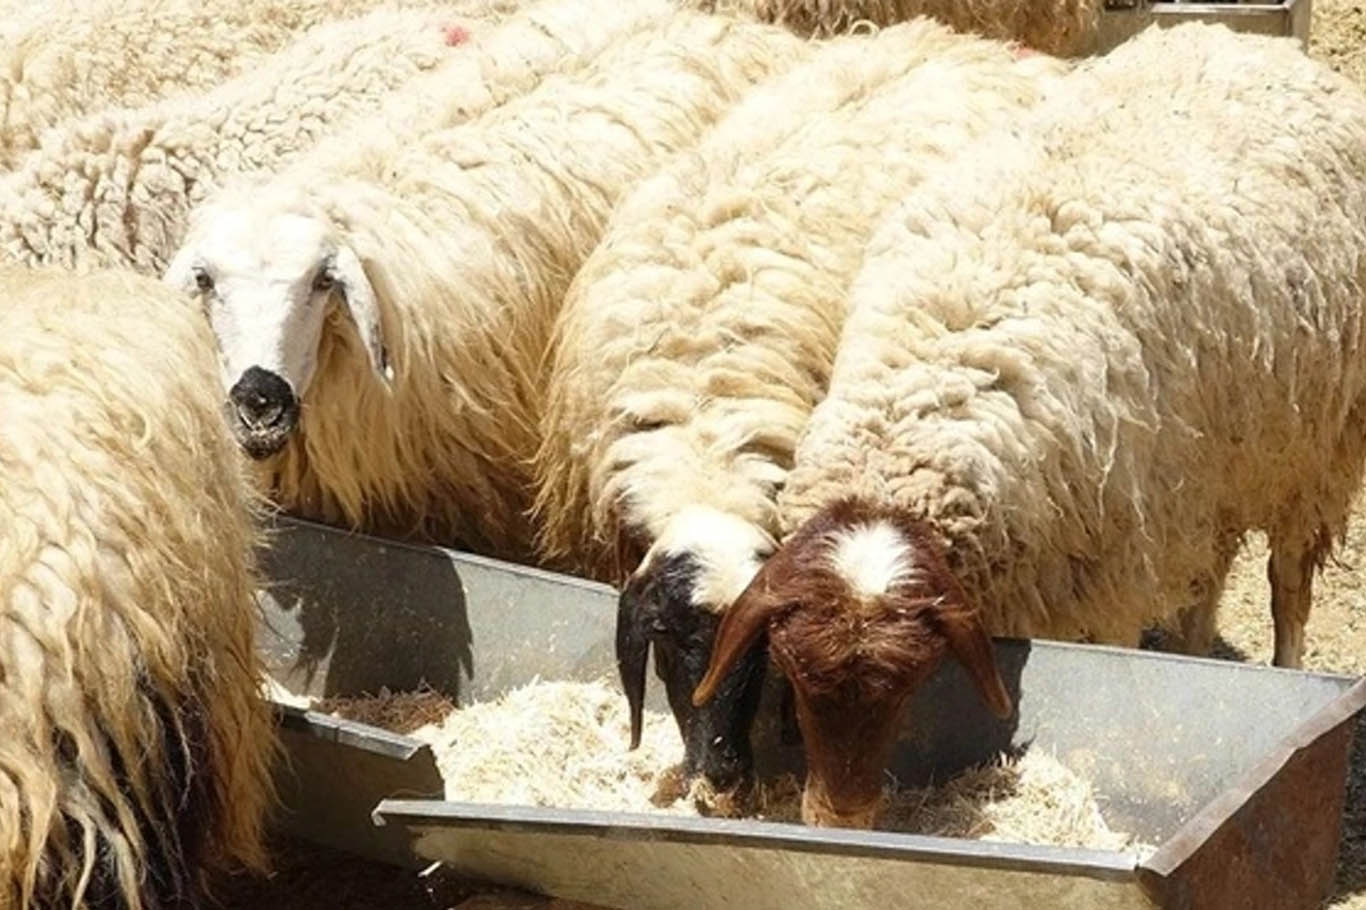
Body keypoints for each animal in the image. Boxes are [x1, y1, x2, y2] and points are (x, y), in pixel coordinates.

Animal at [699, 23, 1366, 830]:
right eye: (794, 675)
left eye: (906, 683)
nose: (839, 822)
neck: (925, 398)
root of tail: (1253, 45)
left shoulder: (1107, 580)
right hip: (1212, 465)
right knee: (1208, 573)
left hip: (1315, 453)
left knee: (1286, 584)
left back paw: (1287, 668)